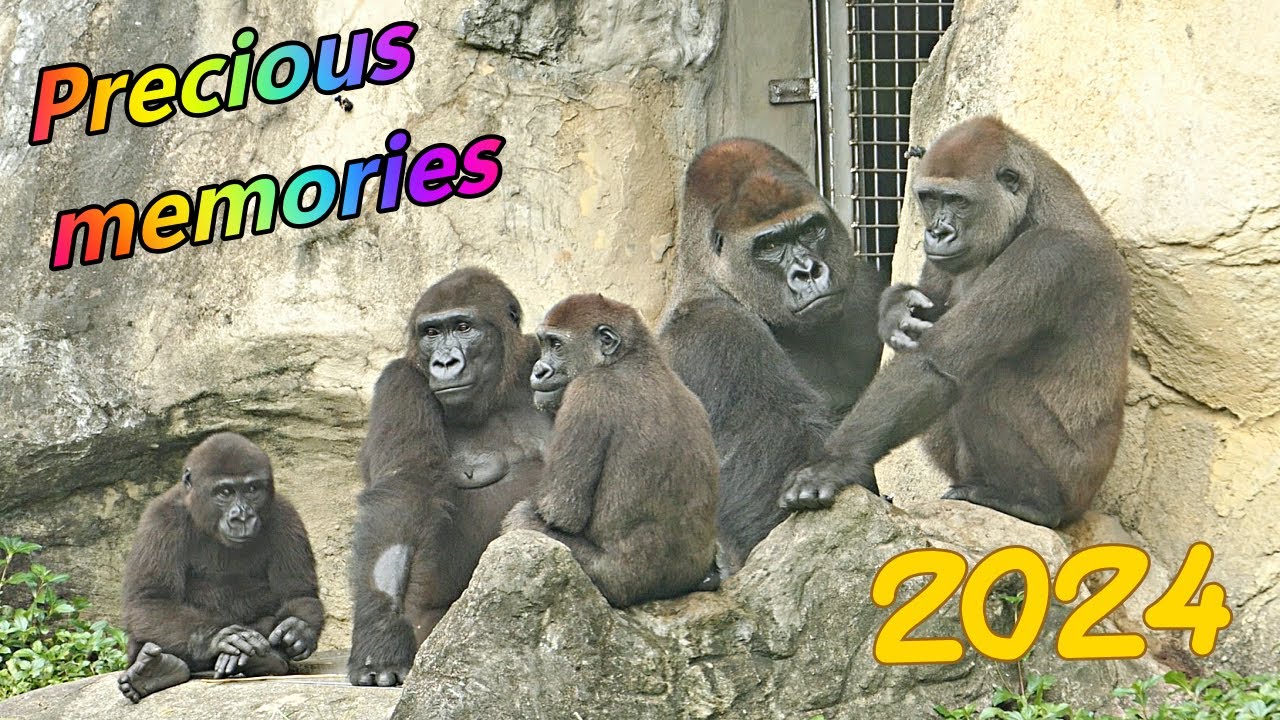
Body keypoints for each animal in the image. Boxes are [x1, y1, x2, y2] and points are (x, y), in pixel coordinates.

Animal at [117, 432, 323, 703]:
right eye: (225, 492)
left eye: (252, 489)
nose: (242, 517)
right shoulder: (161, 518)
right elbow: (149, 600)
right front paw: (216, 637)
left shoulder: (285, 515)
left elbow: (299, 594)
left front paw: (299, 629)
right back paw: (156, 671)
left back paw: (265, 660)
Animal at [347, 267, 551, 687]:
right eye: (431, 333)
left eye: (463, 327)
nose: (444, 362)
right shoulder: (400, 382)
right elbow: (401, 496)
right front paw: (380, 641)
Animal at [503, 294, 718, 607]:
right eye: (544, 344)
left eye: (557, 345)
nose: (539, 370)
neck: (633, 358)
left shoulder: (587, 393)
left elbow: (558, 513)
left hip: (617, 585)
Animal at [781, 116, 1131, 529]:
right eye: (930, 198)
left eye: (958, 201)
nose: (937, 232)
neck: (1030, 203)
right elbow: (930, 305)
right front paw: (895, 309)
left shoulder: (1047, 255)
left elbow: (933, 363)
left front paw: (834, 462)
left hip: (1076, 484)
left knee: (982, 383)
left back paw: (1033, 503)